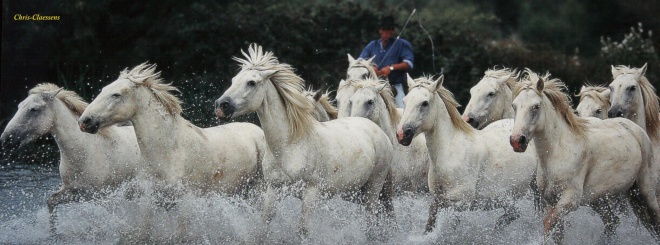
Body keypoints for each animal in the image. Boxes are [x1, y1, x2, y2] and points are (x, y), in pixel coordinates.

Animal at [0, 83, 141, 233]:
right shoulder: (76, 192)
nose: (5, 139)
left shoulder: (101, 196)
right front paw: (53, 233)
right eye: (19, 106)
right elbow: (51, 201)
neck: (86, 152)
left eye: (34, 109)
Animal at [214, 43, 394, 235]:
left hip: (372, 189)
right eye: (233, 80)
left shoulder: (311, 192)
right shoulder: (273, 189)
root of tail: (374, 127)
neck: (289, 145)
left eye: (251, 82)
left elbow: (303, 230)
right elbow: (263, 224)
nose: (221, 106)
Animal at [394, 74, 540, 234]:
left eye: (424, 103)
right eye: (405, 101)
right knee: (513, 213)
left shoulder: (460, 203)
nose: (402, 134)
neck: (448, 151)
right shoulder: (436, 199)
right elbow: (429, 225)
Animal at [510, 69, 660, 243]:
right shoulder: (550, 200)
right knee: (612, 222)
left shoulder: (570, 199)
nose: (516, 141)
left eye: (536, 106)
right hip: (599, 199)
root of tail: (636, 128)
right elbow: (557, 230)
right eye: (514, 106)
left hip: (646, 193)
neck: (557, 152)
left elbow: (548, 223)